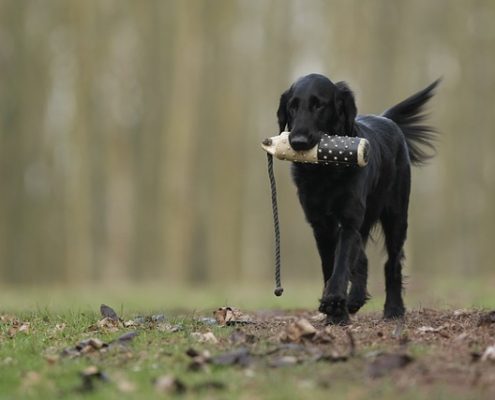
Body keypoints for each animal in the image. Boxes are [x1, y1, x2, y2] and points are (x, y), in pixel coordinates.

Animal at [278, 73, 440, 324]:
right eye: (292, 106)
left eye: (319, 105)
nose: (298, 142)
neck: (325, 171)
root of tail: (386, 119)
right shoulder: (320, 224)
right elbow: (331, 264)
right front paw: (336, 312)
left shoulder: (349, 219)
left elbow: (342, 261)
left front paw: (334, 303)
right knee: (362, 259)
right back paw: (355, 299)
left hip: (396, 215)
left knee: (392, 262)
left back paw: (394, 309)